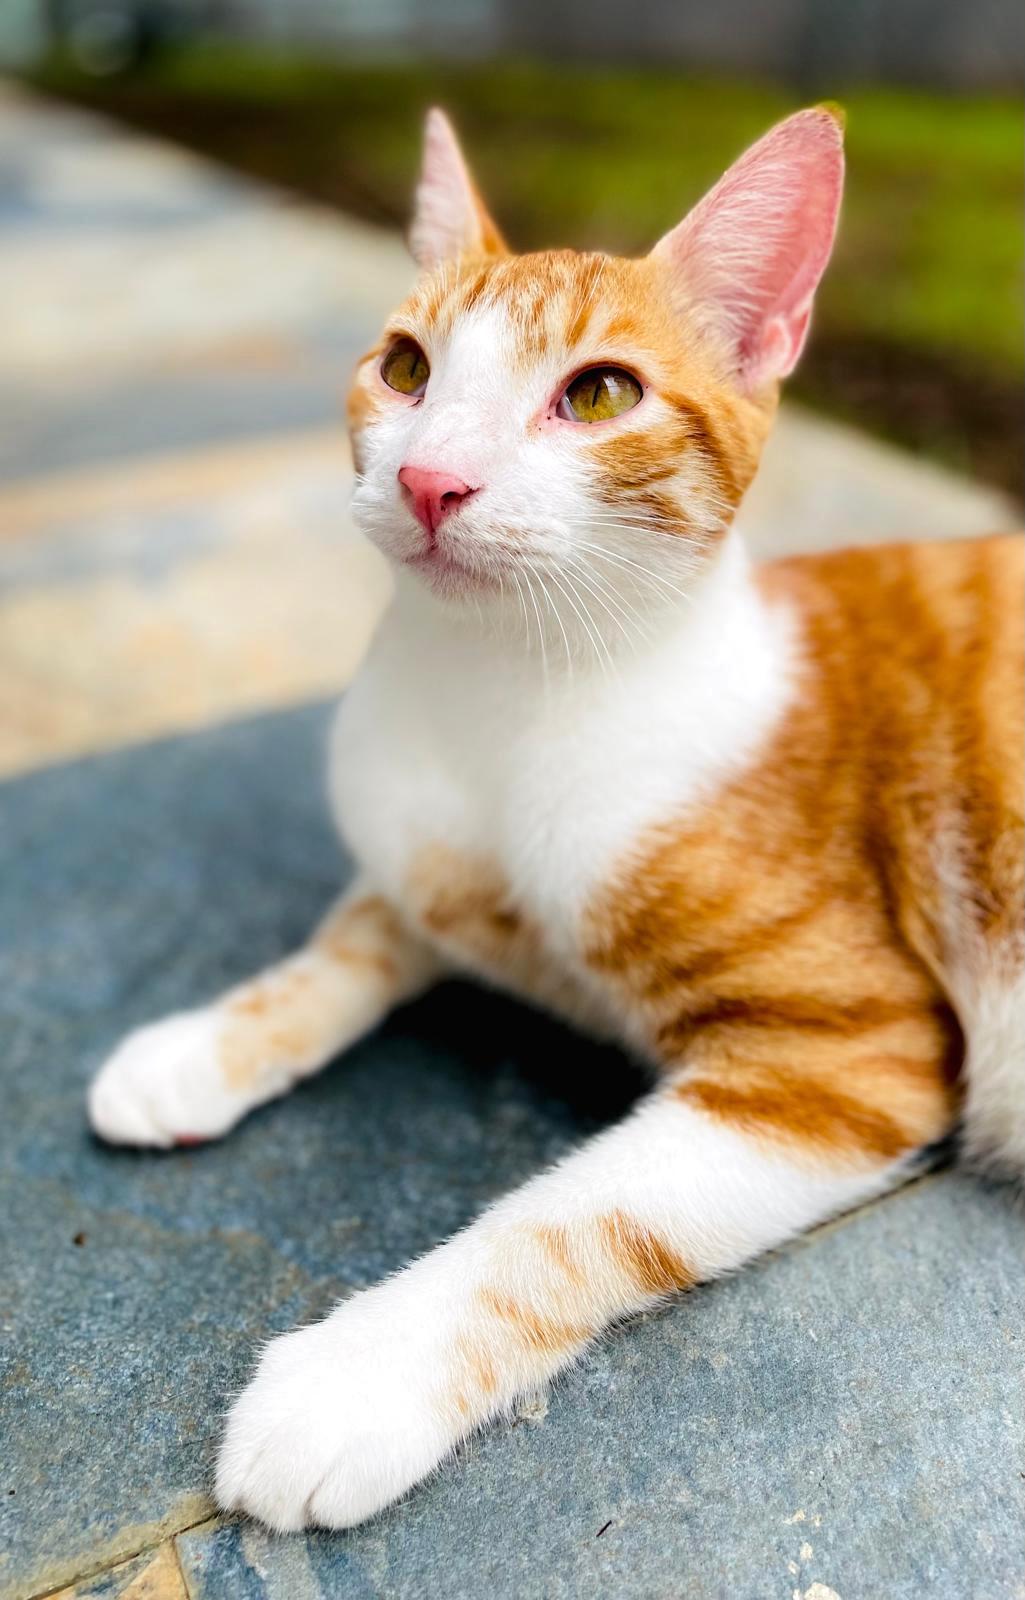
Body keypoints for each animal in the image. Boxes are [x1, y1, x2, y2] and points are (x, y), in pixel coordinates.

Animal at [89, 106, 1023, 1529]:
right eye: (405, 369)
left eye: (595, 396)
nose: (428, 480)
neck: (498, 692)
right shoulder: (414, 867)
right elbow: (347, 940)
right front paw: (198, 1044)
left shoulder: (843, 1053)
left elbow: (566, 1222)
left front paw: (355, 1377)